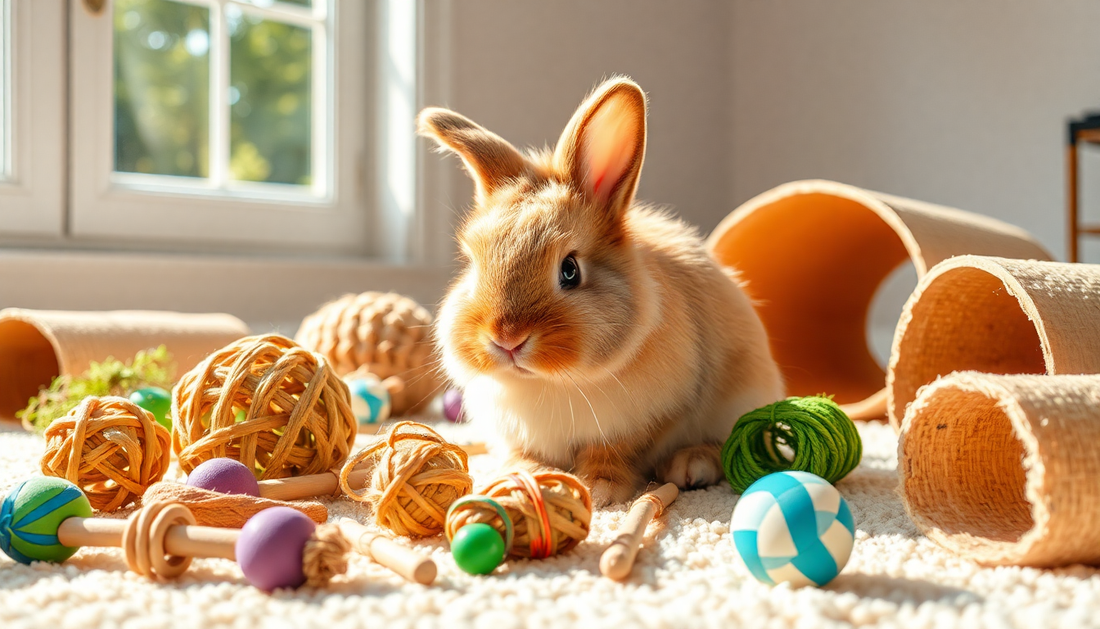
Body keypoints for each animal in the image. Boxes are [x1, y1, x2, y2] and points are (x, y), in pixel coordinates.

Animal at [419, 77, 784, 507]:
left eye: (570, 271)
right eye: (473, 264)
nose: (507, 339)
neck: (550, 382)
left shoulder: (646, 420)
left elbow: (614, 452)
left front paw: (599, 488)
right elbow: (524, 453)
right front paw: (527, 475)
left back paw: (692, 465)